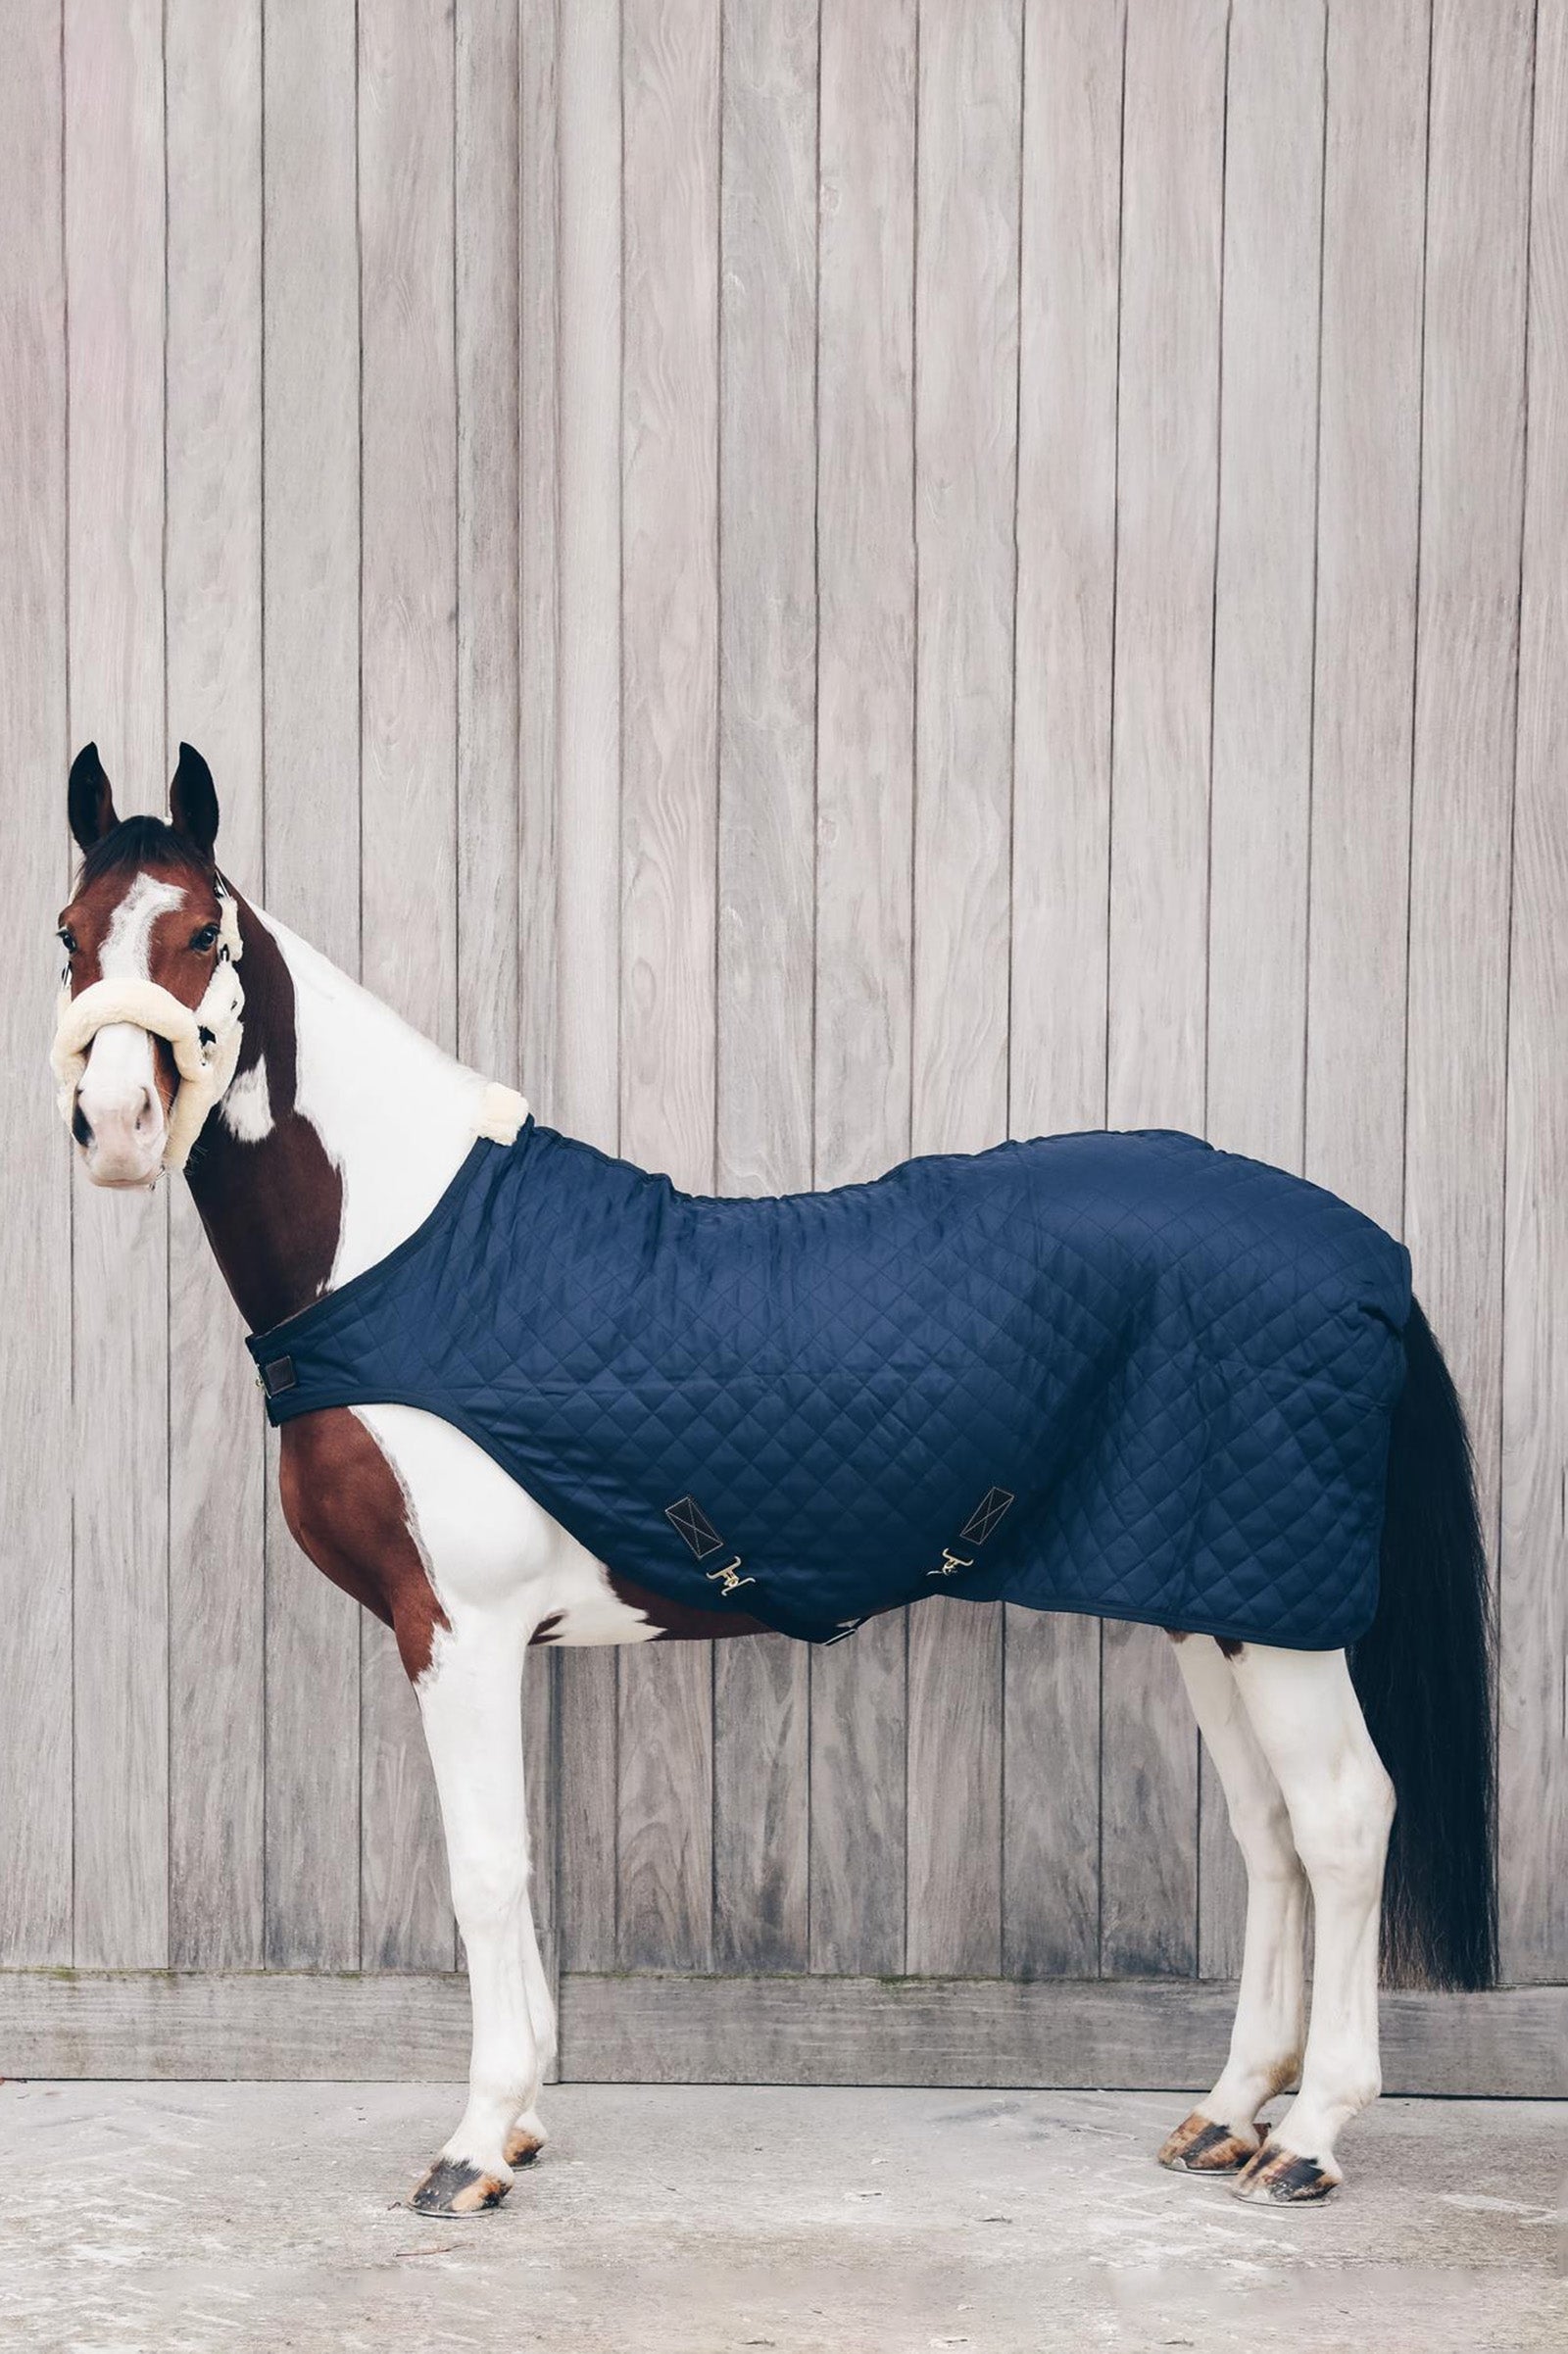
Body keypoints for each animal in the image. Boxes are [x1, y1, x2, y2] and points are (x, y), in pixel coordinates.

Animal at [50, 744, 1495, 2217]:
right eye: (68, 935)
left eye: (201, 934)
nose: (111, 1126)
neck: (406, 1252)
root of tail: (1368, 1255)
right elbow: (516, 1870)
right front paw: (524, 2122)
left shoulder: (459, 1626)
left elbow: (487, 1869)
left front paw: (475, 2144)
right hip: (1213, 1597)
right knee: (1270, 1830)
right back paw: (1227, 2112)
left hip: (1280, 1617)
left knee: (1341, 1818)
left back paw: (1309, 2135)